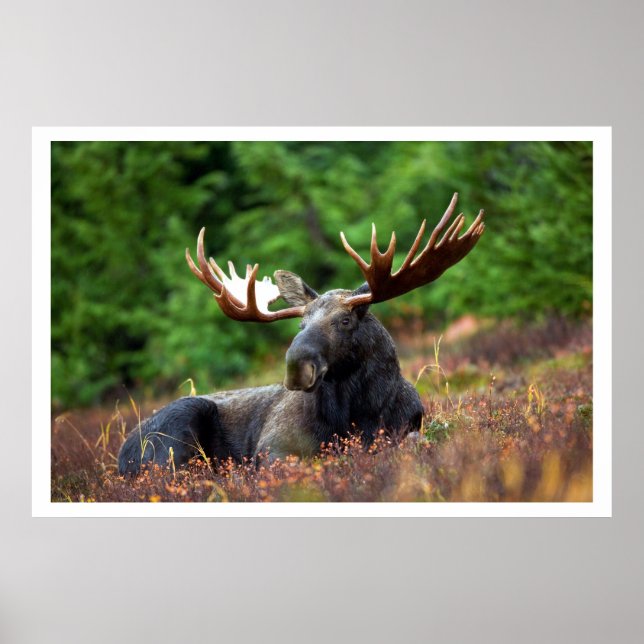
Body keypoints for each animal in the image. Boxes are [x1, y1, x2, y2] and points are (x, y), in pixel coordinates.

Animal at [118, 193, 485, 475]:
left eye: (345, 321)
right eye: (300, 324)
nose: (296, 367)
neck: (358, 414)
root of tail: (122, 455)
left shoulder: (408, 427)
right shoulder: (273, 447)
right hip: (176, 431)